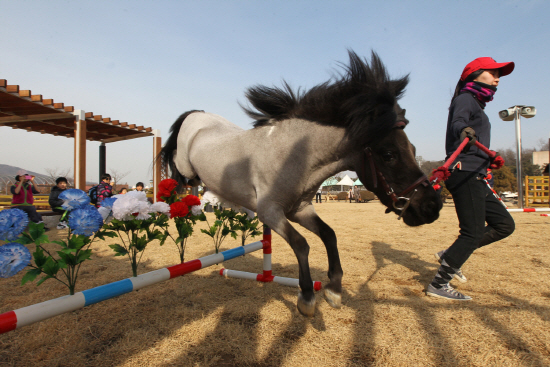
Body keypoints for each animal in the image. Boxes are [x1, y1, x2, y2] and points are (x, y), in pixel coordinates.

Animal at [161, 51, 444, 316]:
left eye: (413, 149)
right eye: (388, 155)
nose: (432, 207)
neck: (296, 156)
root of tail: (197, 115)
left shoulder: (300, 210)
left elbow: (329, 235)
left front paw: (333, 289)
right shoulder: (271, 212)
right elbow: (301, 244)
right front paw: (307, 296)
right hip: (187, 166)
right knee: (176, 166)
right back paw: (177, 196)